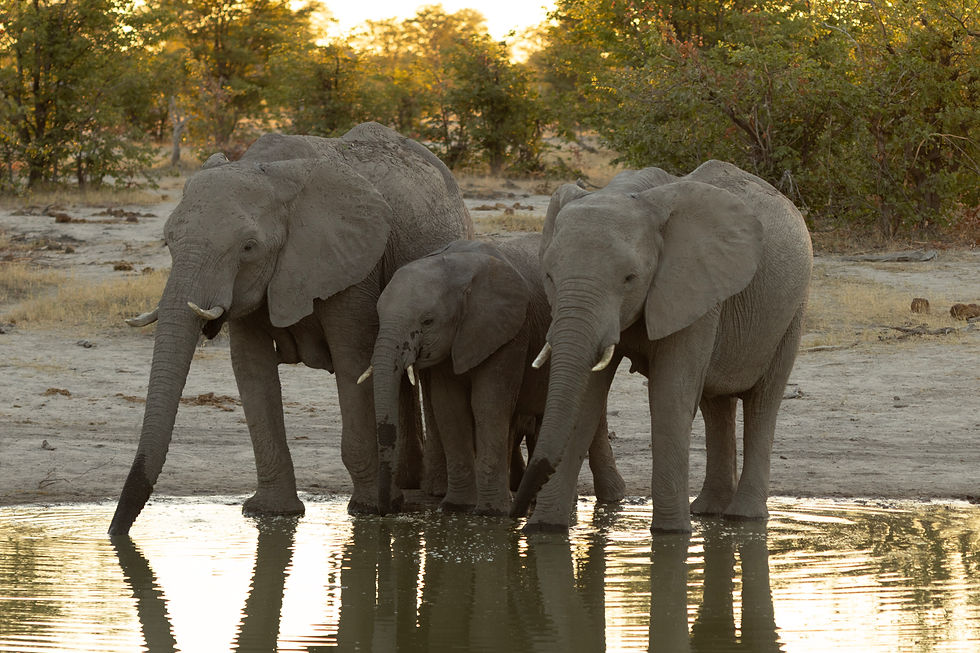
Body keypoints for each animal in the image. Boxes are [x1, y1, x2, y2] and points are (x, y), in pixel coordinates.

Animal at [108, 122, 473, 536]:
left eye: (249, 247)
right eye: (168, 241)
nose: (115, 533)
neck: (269, 172)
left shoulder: (351, 268)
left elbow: (352, 362)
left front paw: (367, 510)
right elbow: (251, 370)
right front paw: (270, 513)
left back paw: (428, 489)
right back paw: (407, 482)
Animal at [359, 235, 625, 516]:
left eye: (428, 321)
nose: (388, 509)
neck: (455, 267)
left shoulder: (510, 331)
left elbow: (488, 404)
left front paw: (491, 513)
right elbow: (450, 407)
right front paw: (457, 508)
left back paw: (608, 498)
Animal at [511, 160, 812, 533]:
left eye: (630, 278)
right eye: (549, 276)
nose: (516, 515)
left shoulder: (693, 286)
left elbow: (670, 397)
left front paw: (671, 534)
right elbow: (586, 401)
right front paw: (545, 530)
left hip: (792, 311)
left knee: (763, 402)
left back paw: (743, 518)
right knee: (716, 404)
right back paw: (708, 511)